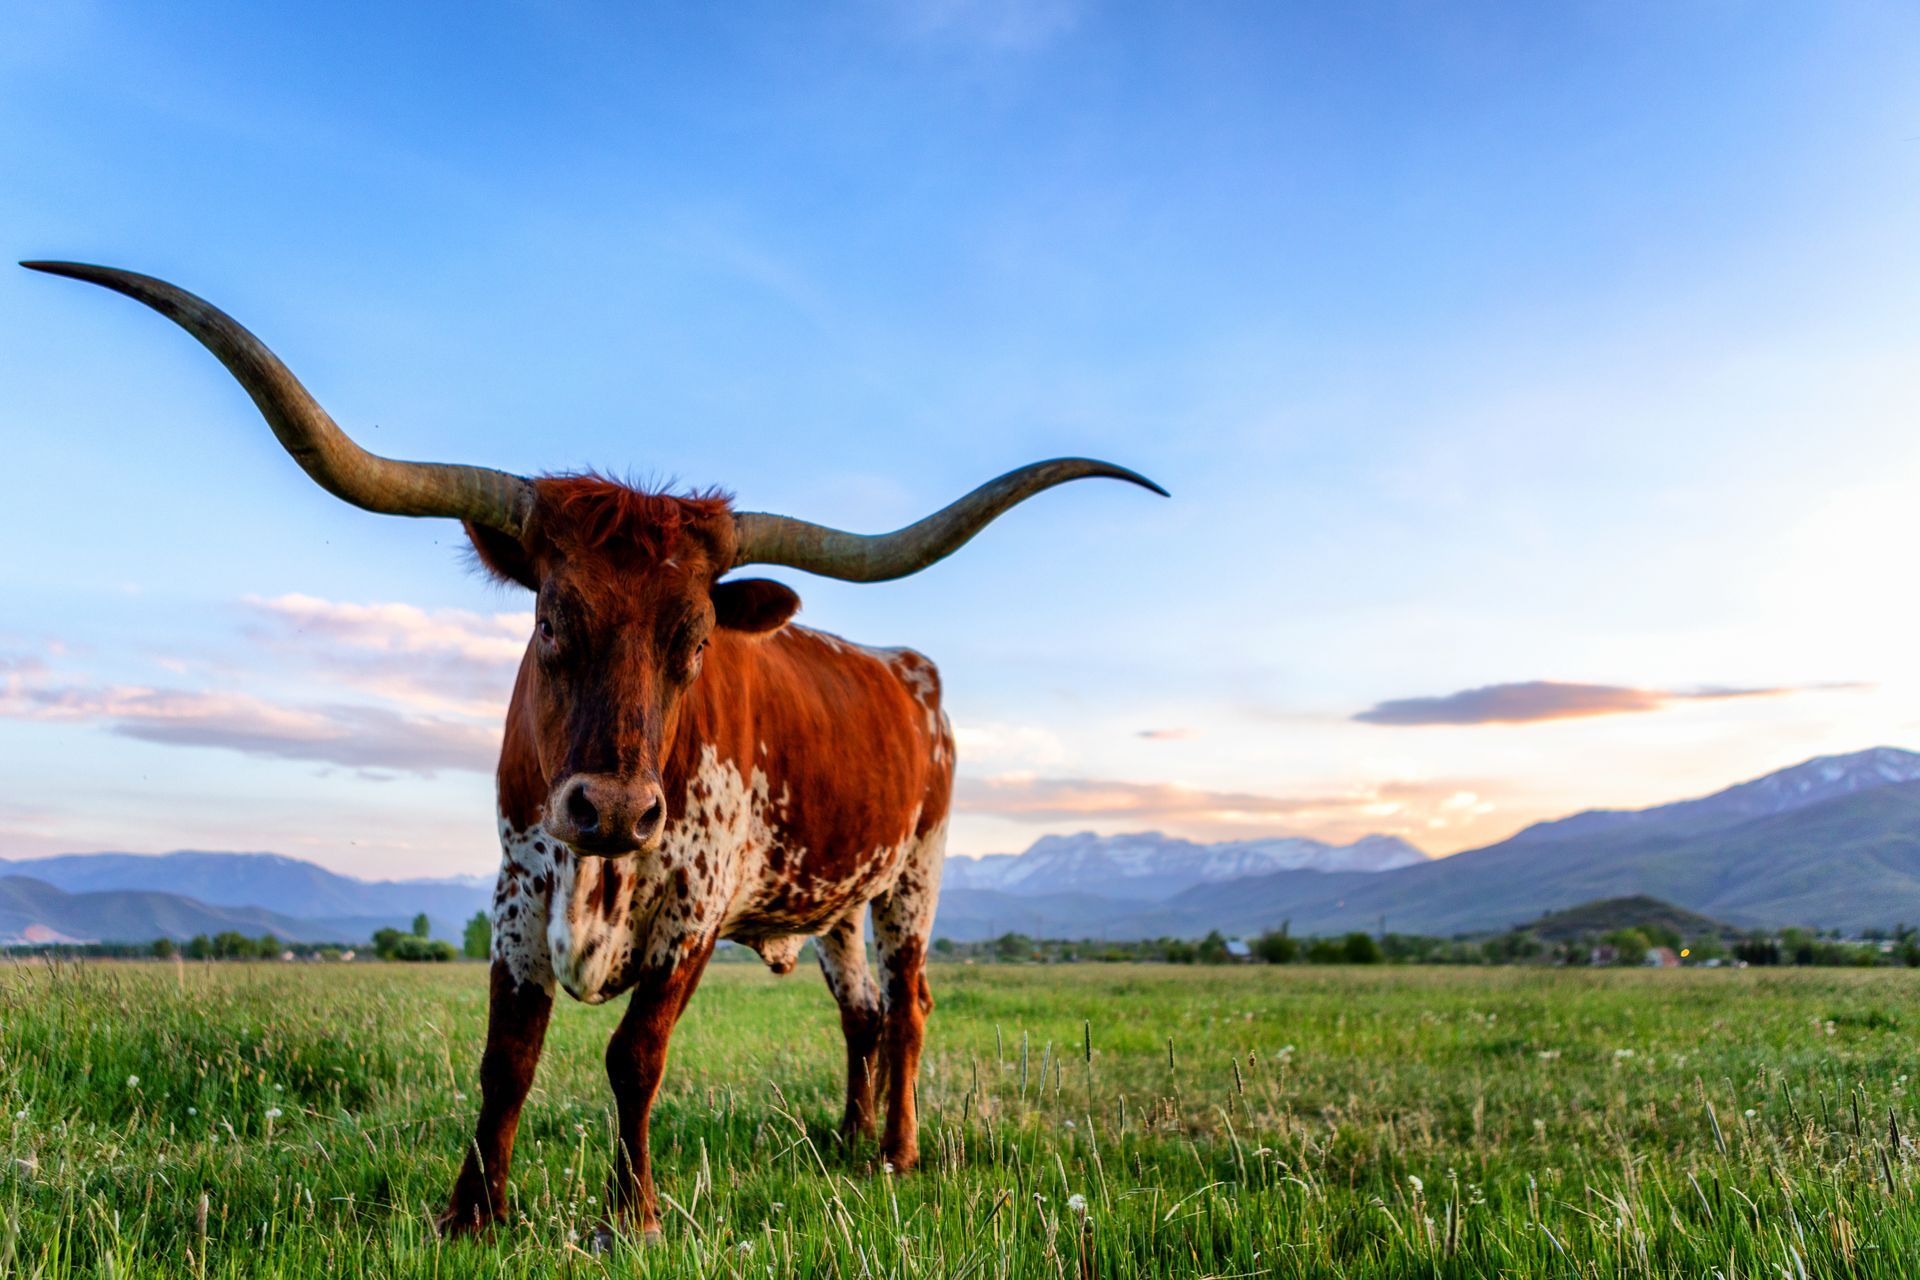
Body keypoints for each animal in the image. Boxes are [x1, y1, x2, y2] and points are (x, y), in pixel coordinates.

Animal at [25, 261, 1163, 1242]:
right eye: (550, 619)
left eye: (695, 641)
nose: (613, 809)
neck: (596, 872)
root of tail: (905, 665)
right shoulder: (517, 887)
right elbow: (508, 1058)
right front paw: (472, 1212)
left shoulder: (695, 904)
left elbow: (634, 1055)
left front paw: (634, 1213)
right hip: (835, 899)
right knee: (865, 1013)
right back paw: (842, 1138)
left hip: (913, 877)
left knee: (912, 1007)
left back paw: (895, 1152)